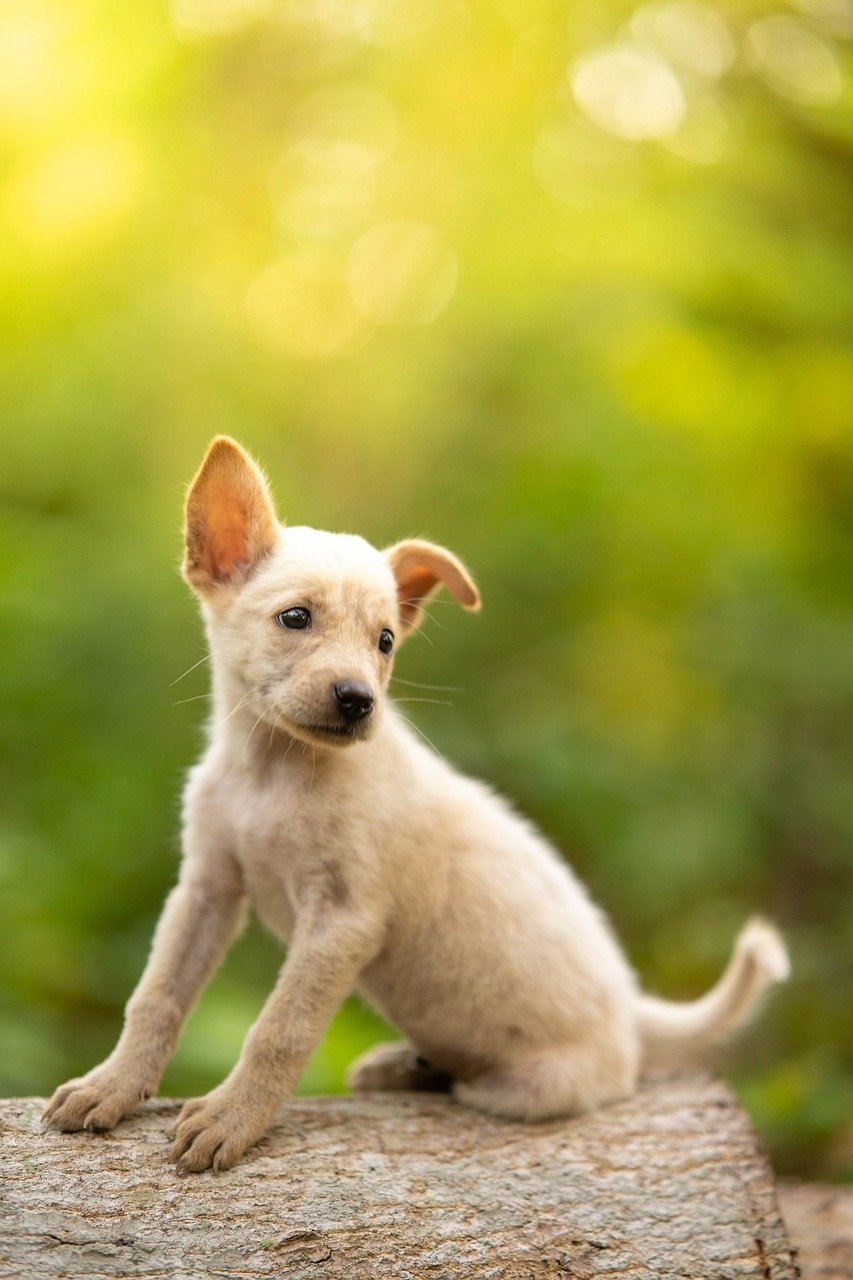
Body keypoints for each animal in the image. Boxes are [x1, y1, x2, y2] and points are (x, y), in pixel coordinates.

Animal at [43, 437, 788, 1172]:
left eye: (385, 641)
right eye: (295, 618)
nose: (357, 700)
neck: (273, 773)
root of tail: (635, 1012)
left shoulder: (342, 920)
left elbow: (279, 1029)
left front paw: (231, 1117)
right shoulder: (207, 889)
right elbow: (157, 996)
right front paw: (113, 1086)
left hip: (531, 1088)